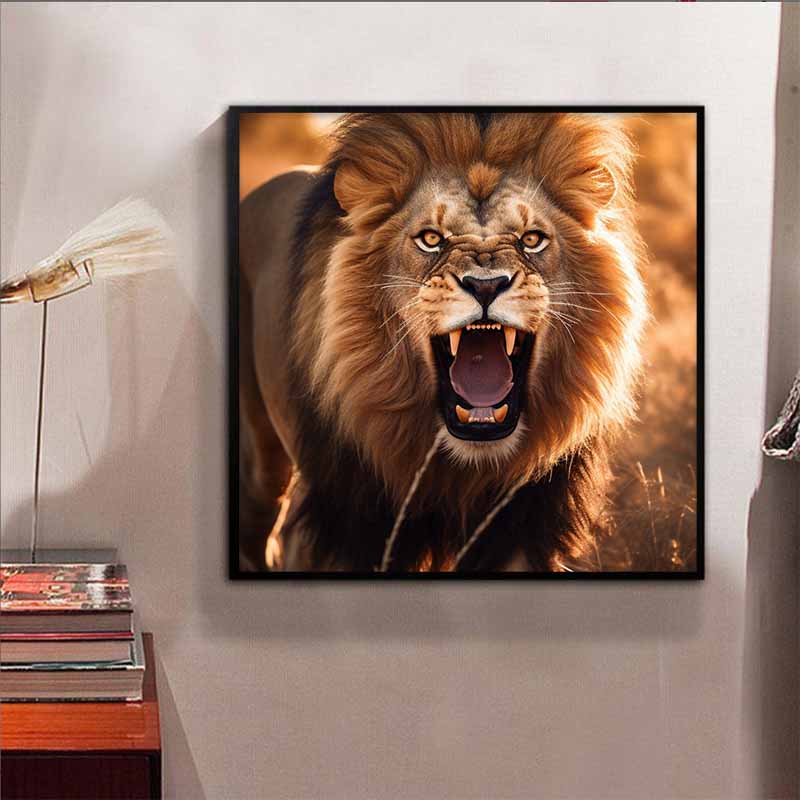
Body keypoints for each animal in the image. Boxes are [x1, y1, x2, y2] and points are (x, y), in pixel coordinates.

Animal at [238, 112, 646, 572]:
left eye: (532, 239)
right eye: (431, 239)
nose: (486, 285)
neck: (464, 466)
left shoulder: (523, 527)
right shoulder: (351, 527)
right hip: (262, 457)